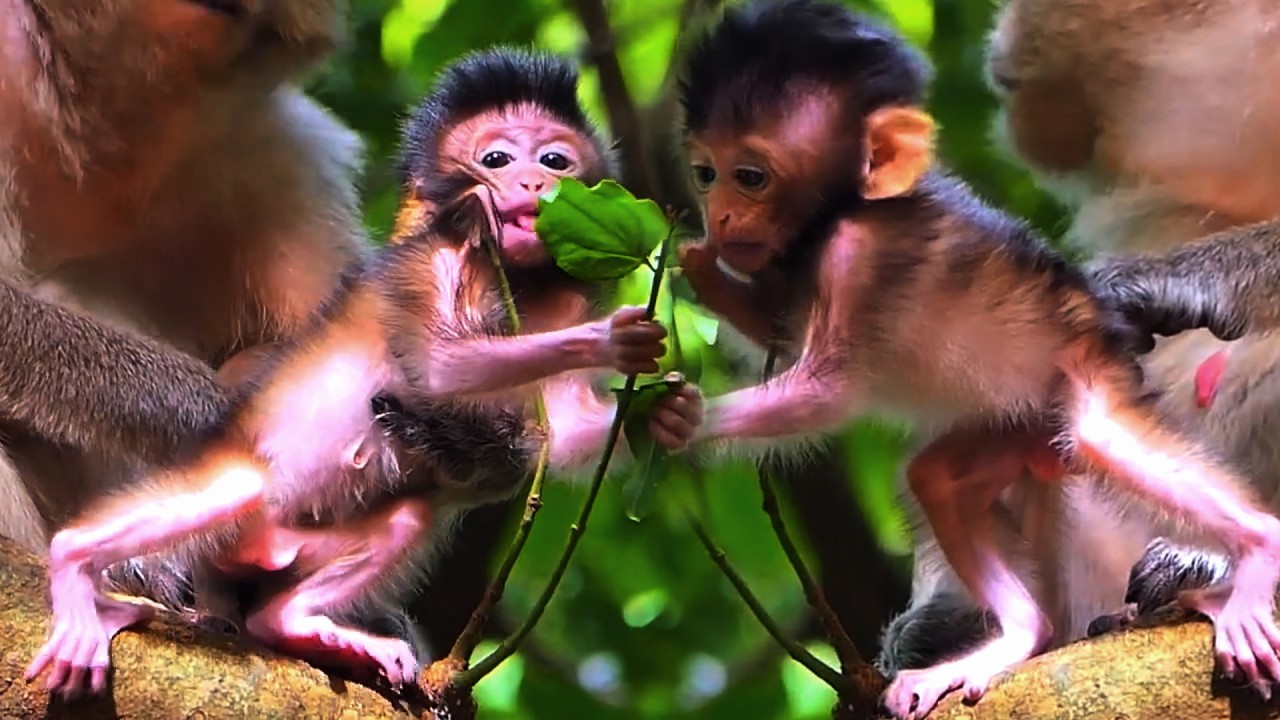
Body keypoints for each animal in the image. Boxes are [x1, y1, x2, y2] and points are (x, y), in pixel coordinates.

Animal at [22, 46, 704, 698]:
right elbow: (437, 368)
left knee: (396, 522)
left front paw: (675, 413)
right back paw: (82, 572)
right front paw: (611, 339)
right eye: (498, 158)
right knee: (227, 489)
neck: (520, 285)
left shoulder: (562, 299)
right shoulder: (437, 258)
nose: (535, 180)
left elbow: (566, 432)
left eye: (557, 160)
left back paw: (299, 624)